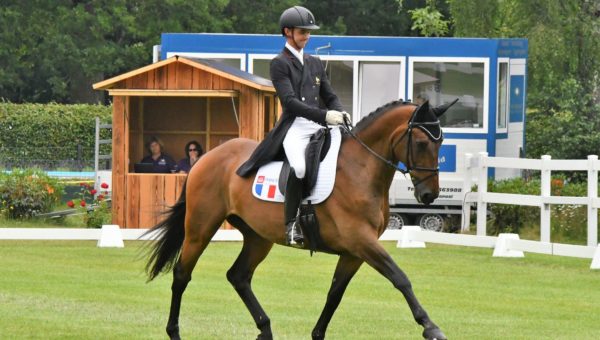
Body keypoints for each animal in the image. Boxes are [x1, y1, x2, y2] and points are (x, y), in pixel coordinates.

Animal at [146, 99, 454, 338]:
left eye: (441, 143)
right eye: (422, 142)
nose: (428, 194)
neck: (360, 169)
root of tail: (208, 156)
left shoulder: (354, 252)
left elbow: (335, 293)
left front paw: (317, 334)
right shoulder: (362, 242)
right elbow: (400, 278)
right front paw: (431, 327)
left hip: (258, 237)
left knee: (239, 276)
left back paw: (265, 329)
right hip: (201, 228)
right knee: (182, 274)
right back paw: (174, 331)